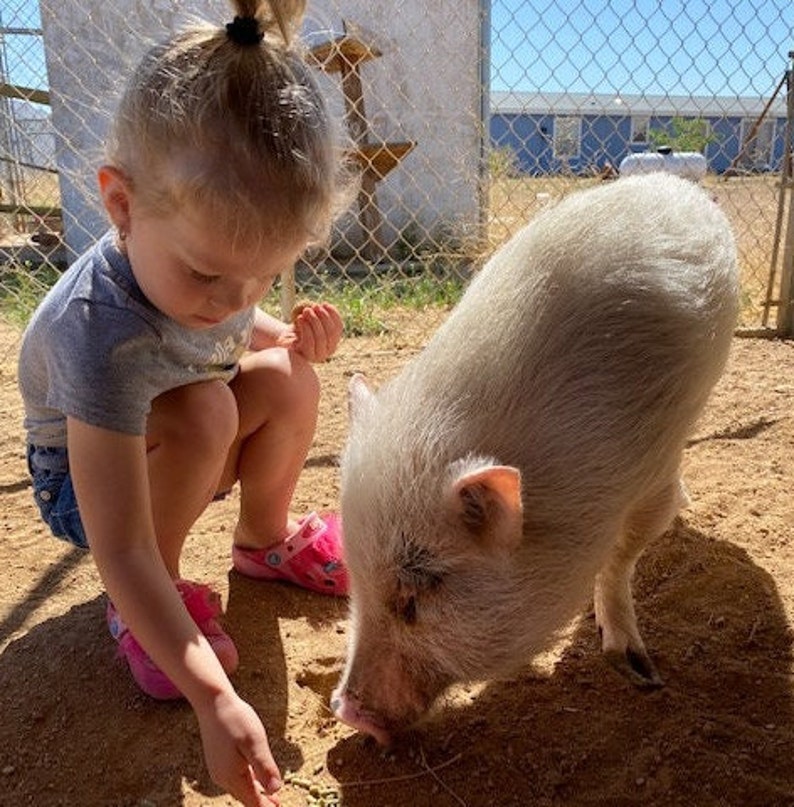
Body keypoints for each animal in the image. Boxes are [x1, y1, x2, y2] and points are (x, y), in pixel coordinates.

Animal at [332, 173, 738, 745]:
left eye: (414, 598)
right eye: (354, 577)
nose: (342, 710)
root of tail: (666, 179)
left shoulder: (652, 470)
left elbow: (624, 554)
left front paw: (641, 674)